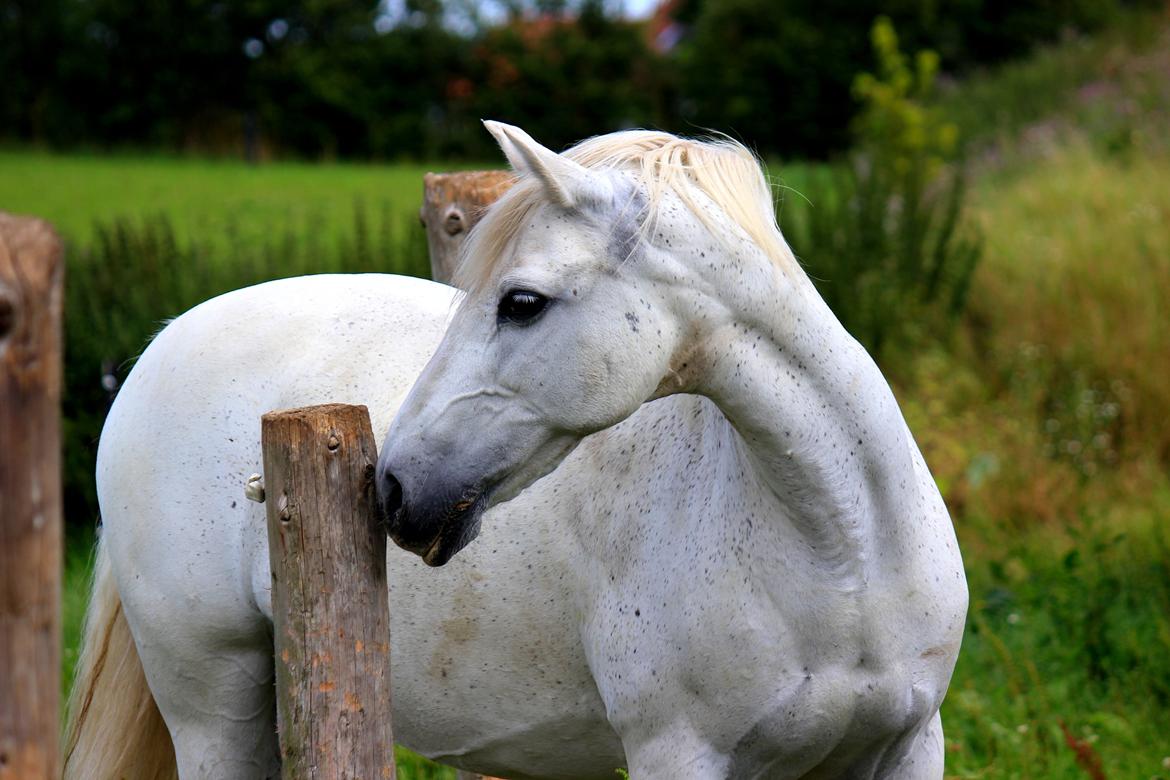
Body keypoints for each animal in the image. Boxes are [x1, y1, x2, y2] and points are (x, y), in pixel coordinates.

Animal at [64, 123, 964, 780]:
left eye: (522, 302)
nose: (393, 488)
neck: (841, 557)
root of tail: (163, 342)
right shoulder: (681, 755)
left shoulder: (910, 747)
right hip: (212, 706)